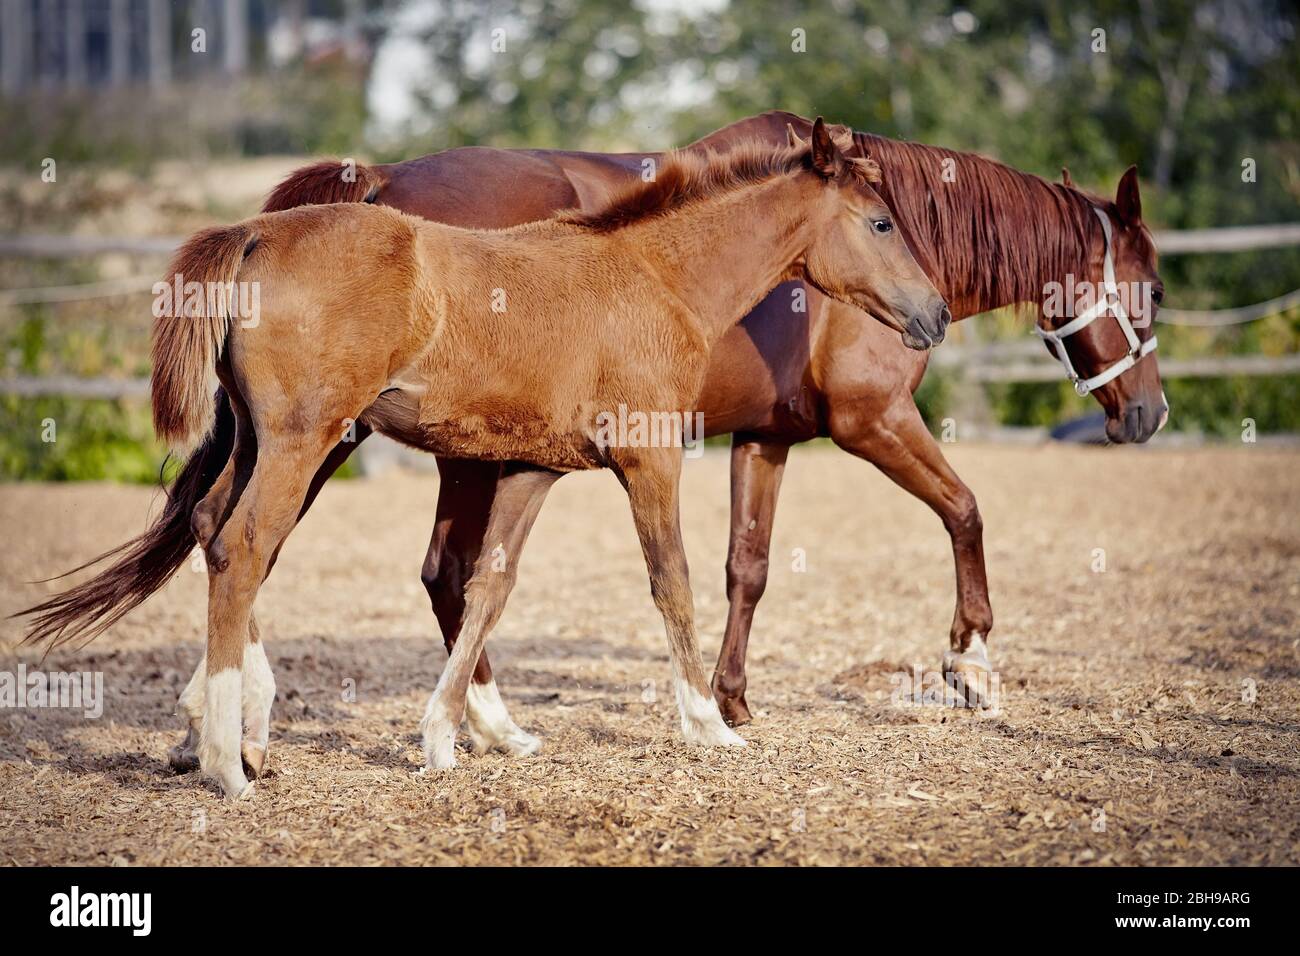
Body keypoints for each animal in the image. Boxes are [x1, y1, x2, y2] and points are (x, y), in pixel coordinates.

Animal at [20, 120, 948, 799]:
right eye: (880, 222)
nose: (934, 314)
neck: (654, 277)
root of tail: (252, 233)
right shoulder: (650, 457)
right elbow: (670, 582)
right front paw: (709, 725)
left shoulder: (538, 469)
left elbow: (488, 587)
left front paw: (446, 736)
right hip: (304, 439)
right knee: (245, 546)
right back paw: (225, 761)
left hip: (261, 439)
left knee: (215, 529)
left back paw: (241, 736)